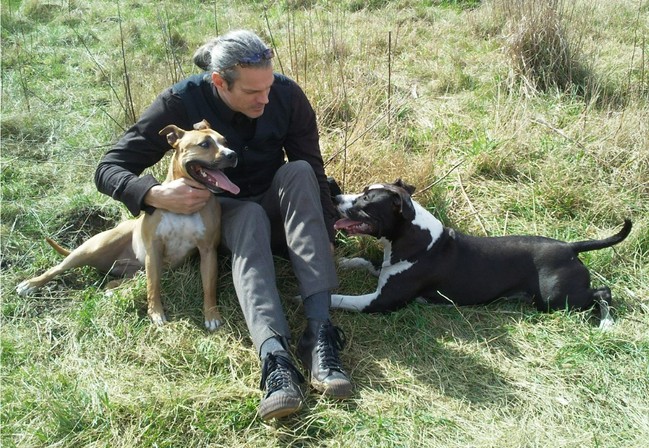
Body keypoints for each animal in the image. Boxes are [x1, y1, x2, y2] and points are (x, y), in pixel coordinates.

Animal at [16, 120, 239, 331]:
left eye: (226, 142)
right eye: (204, 144)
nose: (233, 154)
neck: (184, 207)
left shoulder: (208, 251)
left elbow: (209, 287)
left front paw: (211, 315)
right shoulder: (153, 250)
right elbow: (153, 287)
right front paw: (156, 313)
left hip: (135, 272)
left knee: (115, 283)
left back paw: (112, 290)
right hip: (91, 249)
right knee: (58, 268)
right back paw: (31, 284)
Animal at [331, 179, 632, 329]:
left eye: (366, 200)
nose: (335, 197)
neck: (415, 236)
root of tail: (570, 247)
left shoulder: (382, 301)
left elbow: (344, 299)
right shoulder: (385, 267)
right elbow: (364, 260)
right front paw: (344, 261)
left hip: (557, 299)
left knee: (603, 292)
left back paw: (606, 324)